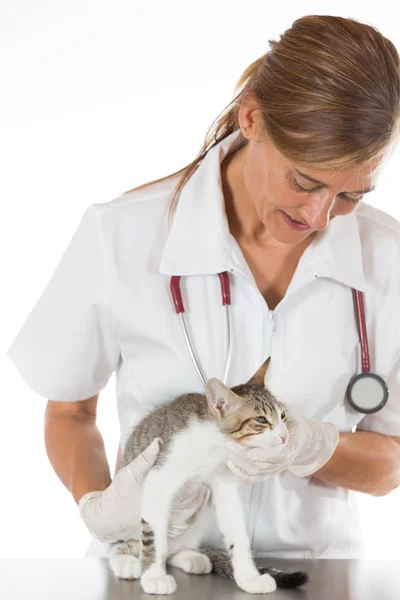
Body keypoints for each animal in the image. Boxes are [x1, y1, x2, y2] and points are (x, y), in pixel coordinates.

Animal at [108, 358, 308, 592]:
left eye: (283, 415)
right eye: (261, 419)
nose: (285, 437)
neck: (215, 445)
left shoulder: (225, 485)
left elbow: (237, 533)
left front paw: (249, 577)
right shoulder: (158, 478)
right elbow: (153, 535)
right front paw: (154, 576)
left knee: (173, 549)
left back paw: (191, 557)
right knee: (121, 544)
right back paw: (126, 561)